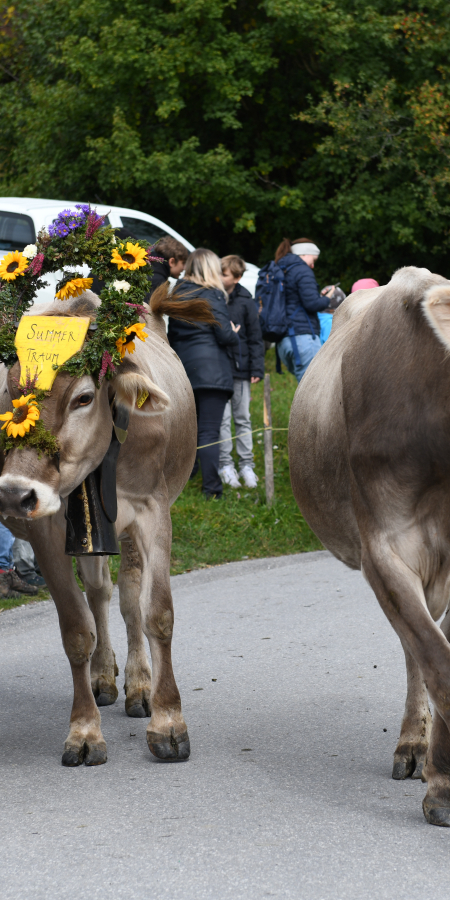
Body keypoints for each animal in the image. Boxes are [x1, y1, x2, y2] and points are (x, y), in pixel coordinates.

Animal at [0, 209, 214, 768]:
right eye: (10, 394)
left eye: (83, 397)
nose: (13, 494)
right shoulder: (49, 526)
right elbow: (76, 629)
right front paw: (83, 731)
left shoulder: (152, 513)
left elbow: (157, 613)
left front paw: (169, 722)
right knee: (100, 594)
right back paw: (105, 678)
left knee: (129, 596)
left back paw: (139, 686)